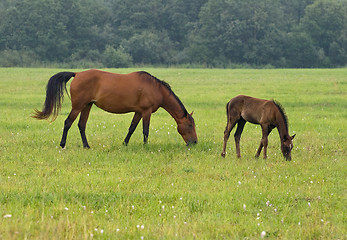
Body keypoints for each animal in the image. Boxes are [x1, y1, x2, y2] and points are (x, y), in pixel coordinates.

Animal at [33, 69, 198, 148]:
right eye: (190, 125)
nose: (194, 142)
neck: (155, 88)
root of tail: (77, 74)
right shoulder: (146, 111)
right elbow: (145, 130)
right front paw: (145, 146)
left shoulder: (138, 112)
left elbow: (132, 128)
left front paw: (125, 144)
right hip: (78, 106)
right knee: (68, 123)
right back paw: (63, 144)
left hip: (87, 106)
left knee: (81, 125)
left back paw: (87, 146)